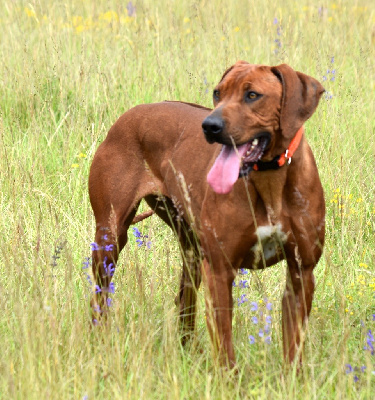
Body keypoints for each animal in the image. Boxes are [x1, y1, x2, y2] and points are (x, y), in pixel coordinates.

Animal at [89, 61, 326, 368]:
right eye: (217, 93)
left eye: (252, 95)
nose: (210, 126)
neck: (270, 179)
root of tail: (128, 115)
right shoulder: (220, 271)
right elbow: (225, 349)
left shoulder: (301, 272)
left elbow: (293, 349)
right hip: (109, 239)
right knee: (100, 297)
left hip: (191, 251)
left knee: (184, 301)